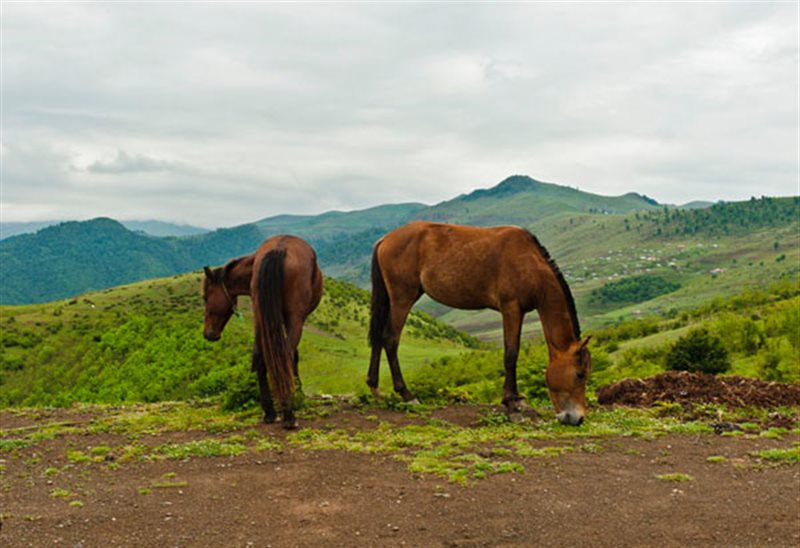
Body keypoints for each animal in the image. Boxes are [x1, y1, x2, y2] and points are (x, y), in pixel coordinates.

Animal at [202, 235, 324, 428]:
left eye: (205, 297)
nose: (208, 334)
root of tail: (278, 250)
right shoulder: (295, 320)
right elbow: (294, 356)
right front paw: (299, 392)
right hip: (293, 319)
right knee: (285, 356)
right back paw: (288, 413)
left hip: (261, 320)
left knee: (260, 357)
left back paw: (269, 412)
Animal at [368, 220, 588, 426]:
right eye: (579, 374)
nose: (578, 419)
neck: (530, 263)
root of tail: (385, 239)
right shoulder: (511, 308)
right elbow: (511, 353)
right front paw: (511, 404)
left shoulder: (519, 312)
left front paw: (517, 400)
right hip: (402, 298)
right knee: (390, 339)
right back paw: (406, 394)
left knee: (378, 337)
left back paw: (374, 387)